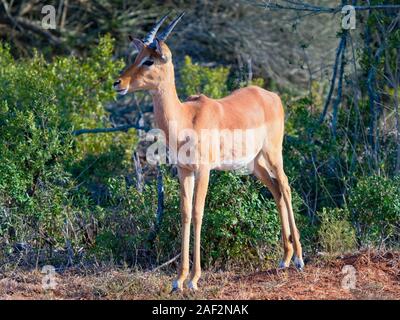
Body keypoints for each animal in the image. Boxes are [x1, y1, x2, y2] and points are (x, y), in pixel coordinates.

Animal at [114, 13, 304, 292]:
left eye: (149, 60)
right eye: (136, 56)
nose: (119, 83)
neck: (186, 118)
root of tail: (271, 95)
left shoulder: (204, 170)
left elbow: (198, 213)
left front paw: (194, 279)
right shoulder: (184, 170)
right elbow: (184, 213)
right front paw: (178, 279)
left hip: (273, 154)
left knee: (287, 186)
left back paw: (299, 258)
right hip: (255, 164)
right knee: (277, 191)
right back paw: (285, 258)